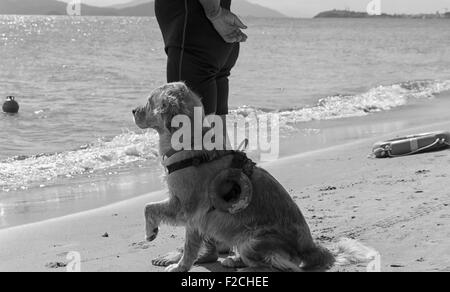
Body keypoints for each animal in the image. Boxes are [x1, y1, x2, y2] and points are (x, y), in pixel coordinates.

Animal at [133, 81, 376, 272]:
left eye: (149, 101)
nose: (133, 110)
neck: (190, 141)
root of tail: (311, 247)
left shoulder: (187, 209)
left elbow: (153, 211)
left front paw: (171, 256)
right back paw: (234, 260)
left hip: (251, 240)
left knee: (281, 267)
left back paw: (241, 265)